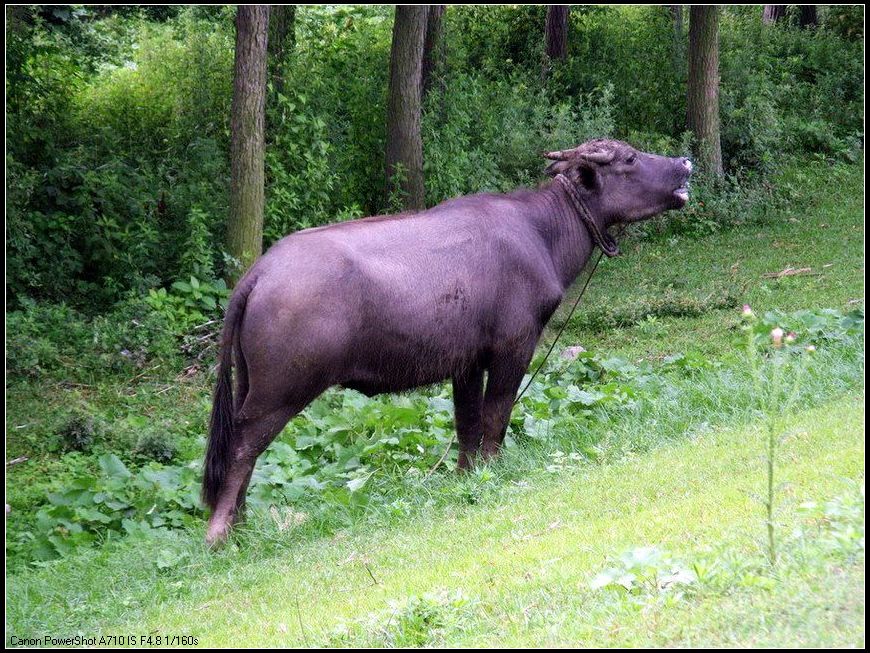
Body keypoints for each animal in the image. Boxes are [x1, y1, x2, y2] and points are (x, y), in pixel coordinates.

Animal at [204, 139, 696, 544]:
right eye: (629, 158)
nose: (684, 162)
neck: (540, 230)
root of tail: (260, 271)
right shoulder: (512, 350)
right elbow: (496, 417)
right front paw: (493, 470)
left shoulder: (466, 364)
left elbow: (467, 426)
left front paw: (465, 476)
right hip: (279, 392)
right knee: (241, 446)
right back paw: (220, 534)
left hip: (251, 385)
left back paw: (242, 524)